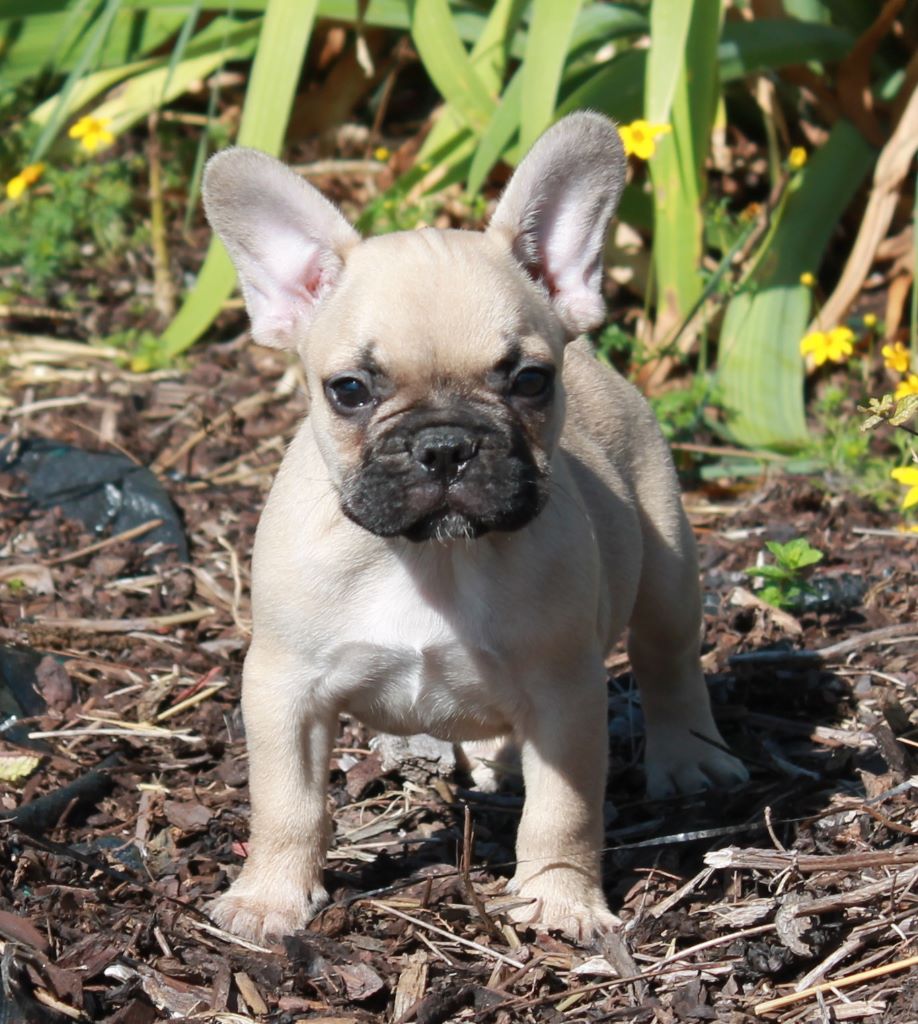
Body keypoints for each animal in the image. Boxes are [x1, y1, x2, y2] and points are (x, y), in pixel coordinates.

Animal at [201, 112, 748, 942]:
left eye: (529, 380)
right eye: (349, 390)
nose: (445, 444)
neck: (431, 561)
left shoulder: (565, 694)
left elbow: (564, 813)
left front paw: (560, 901)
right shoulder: (285, 690)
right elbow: (287, 805)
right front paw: (269, 899)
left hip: (667, 567)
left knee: (669, 664)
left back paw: (689, 758)